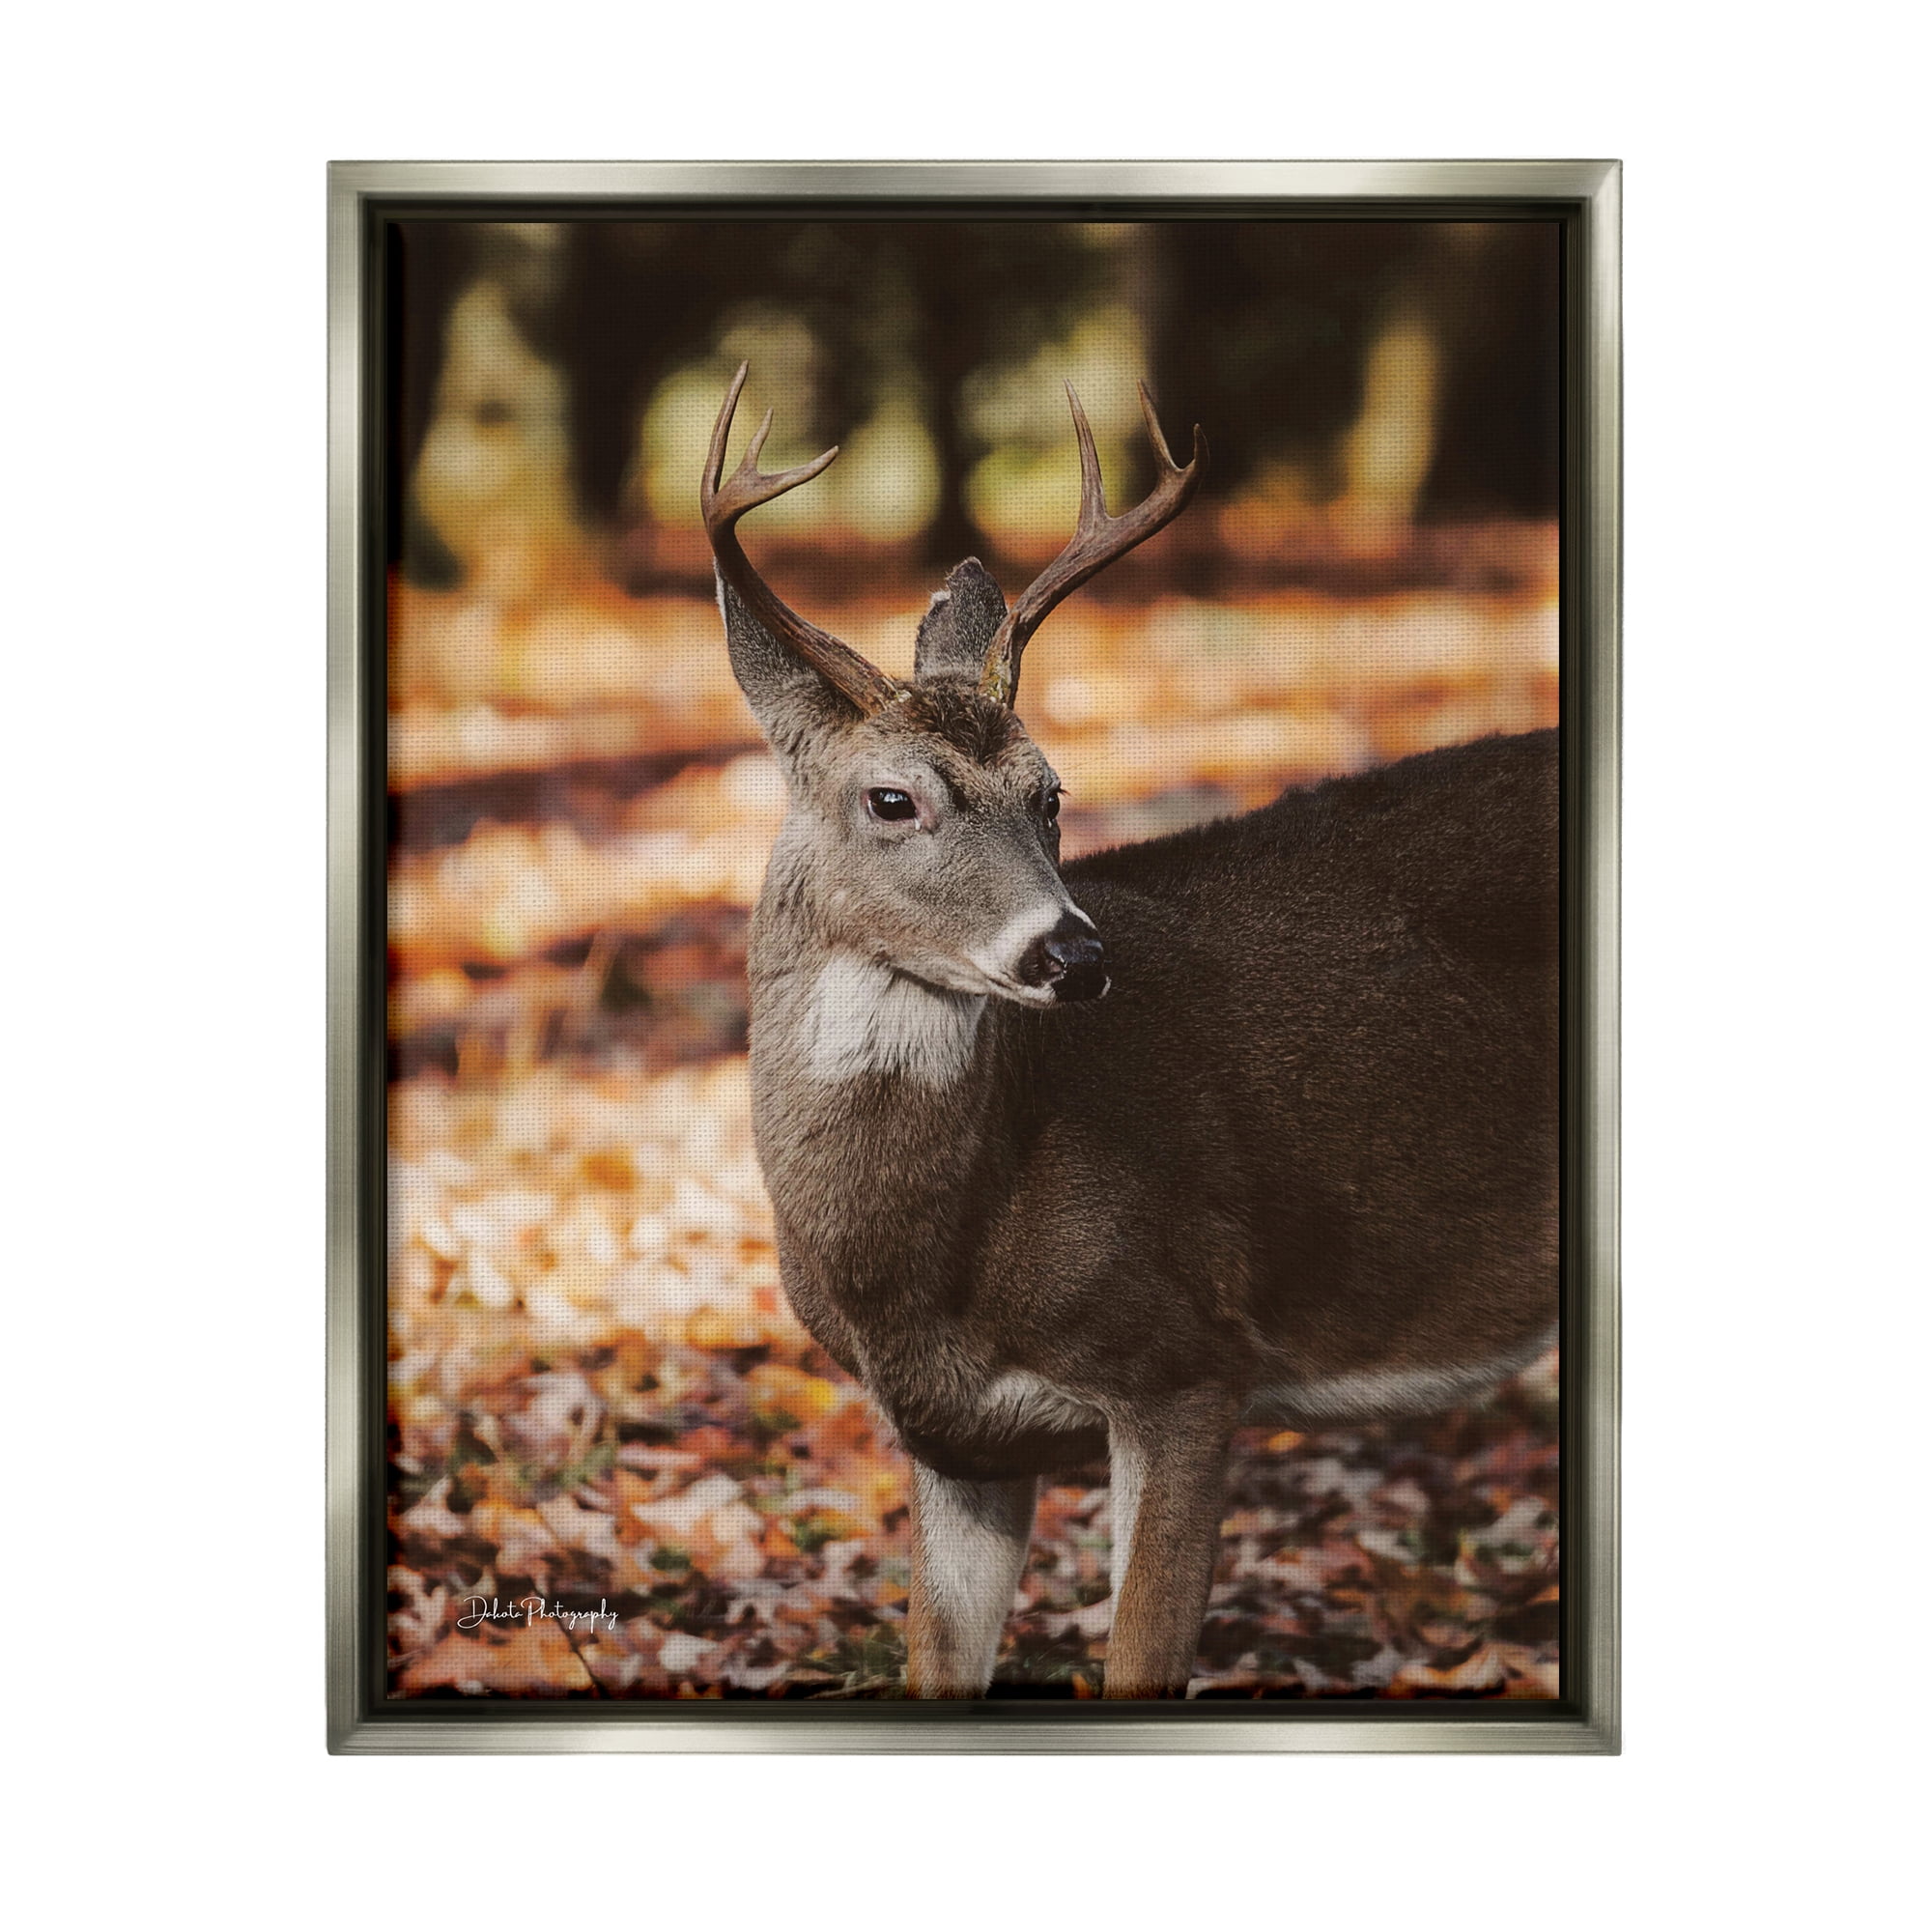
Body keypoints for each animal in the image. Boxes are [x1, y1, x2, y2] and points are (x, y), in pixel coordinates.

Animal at [701, 362, 1558, 1699]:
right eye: (892, 798)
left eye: (1050, 794)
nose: (1075, 955)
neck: (926, 1271)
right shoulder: (954, 1442)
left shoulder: (1189, 1357)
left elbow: (1139, 1660)